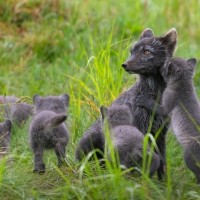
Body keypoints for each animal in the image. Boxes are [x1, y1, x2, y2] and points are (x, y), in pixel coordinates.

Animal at [76, 27, 177, 180]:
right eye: (132, 52)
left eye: (146, 52)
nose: (124, 64)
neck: (155, 98)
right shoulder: (140, 128)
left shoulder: (160, 133)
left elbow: (162, 162)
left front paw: (162, 183)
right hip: (91, 140)